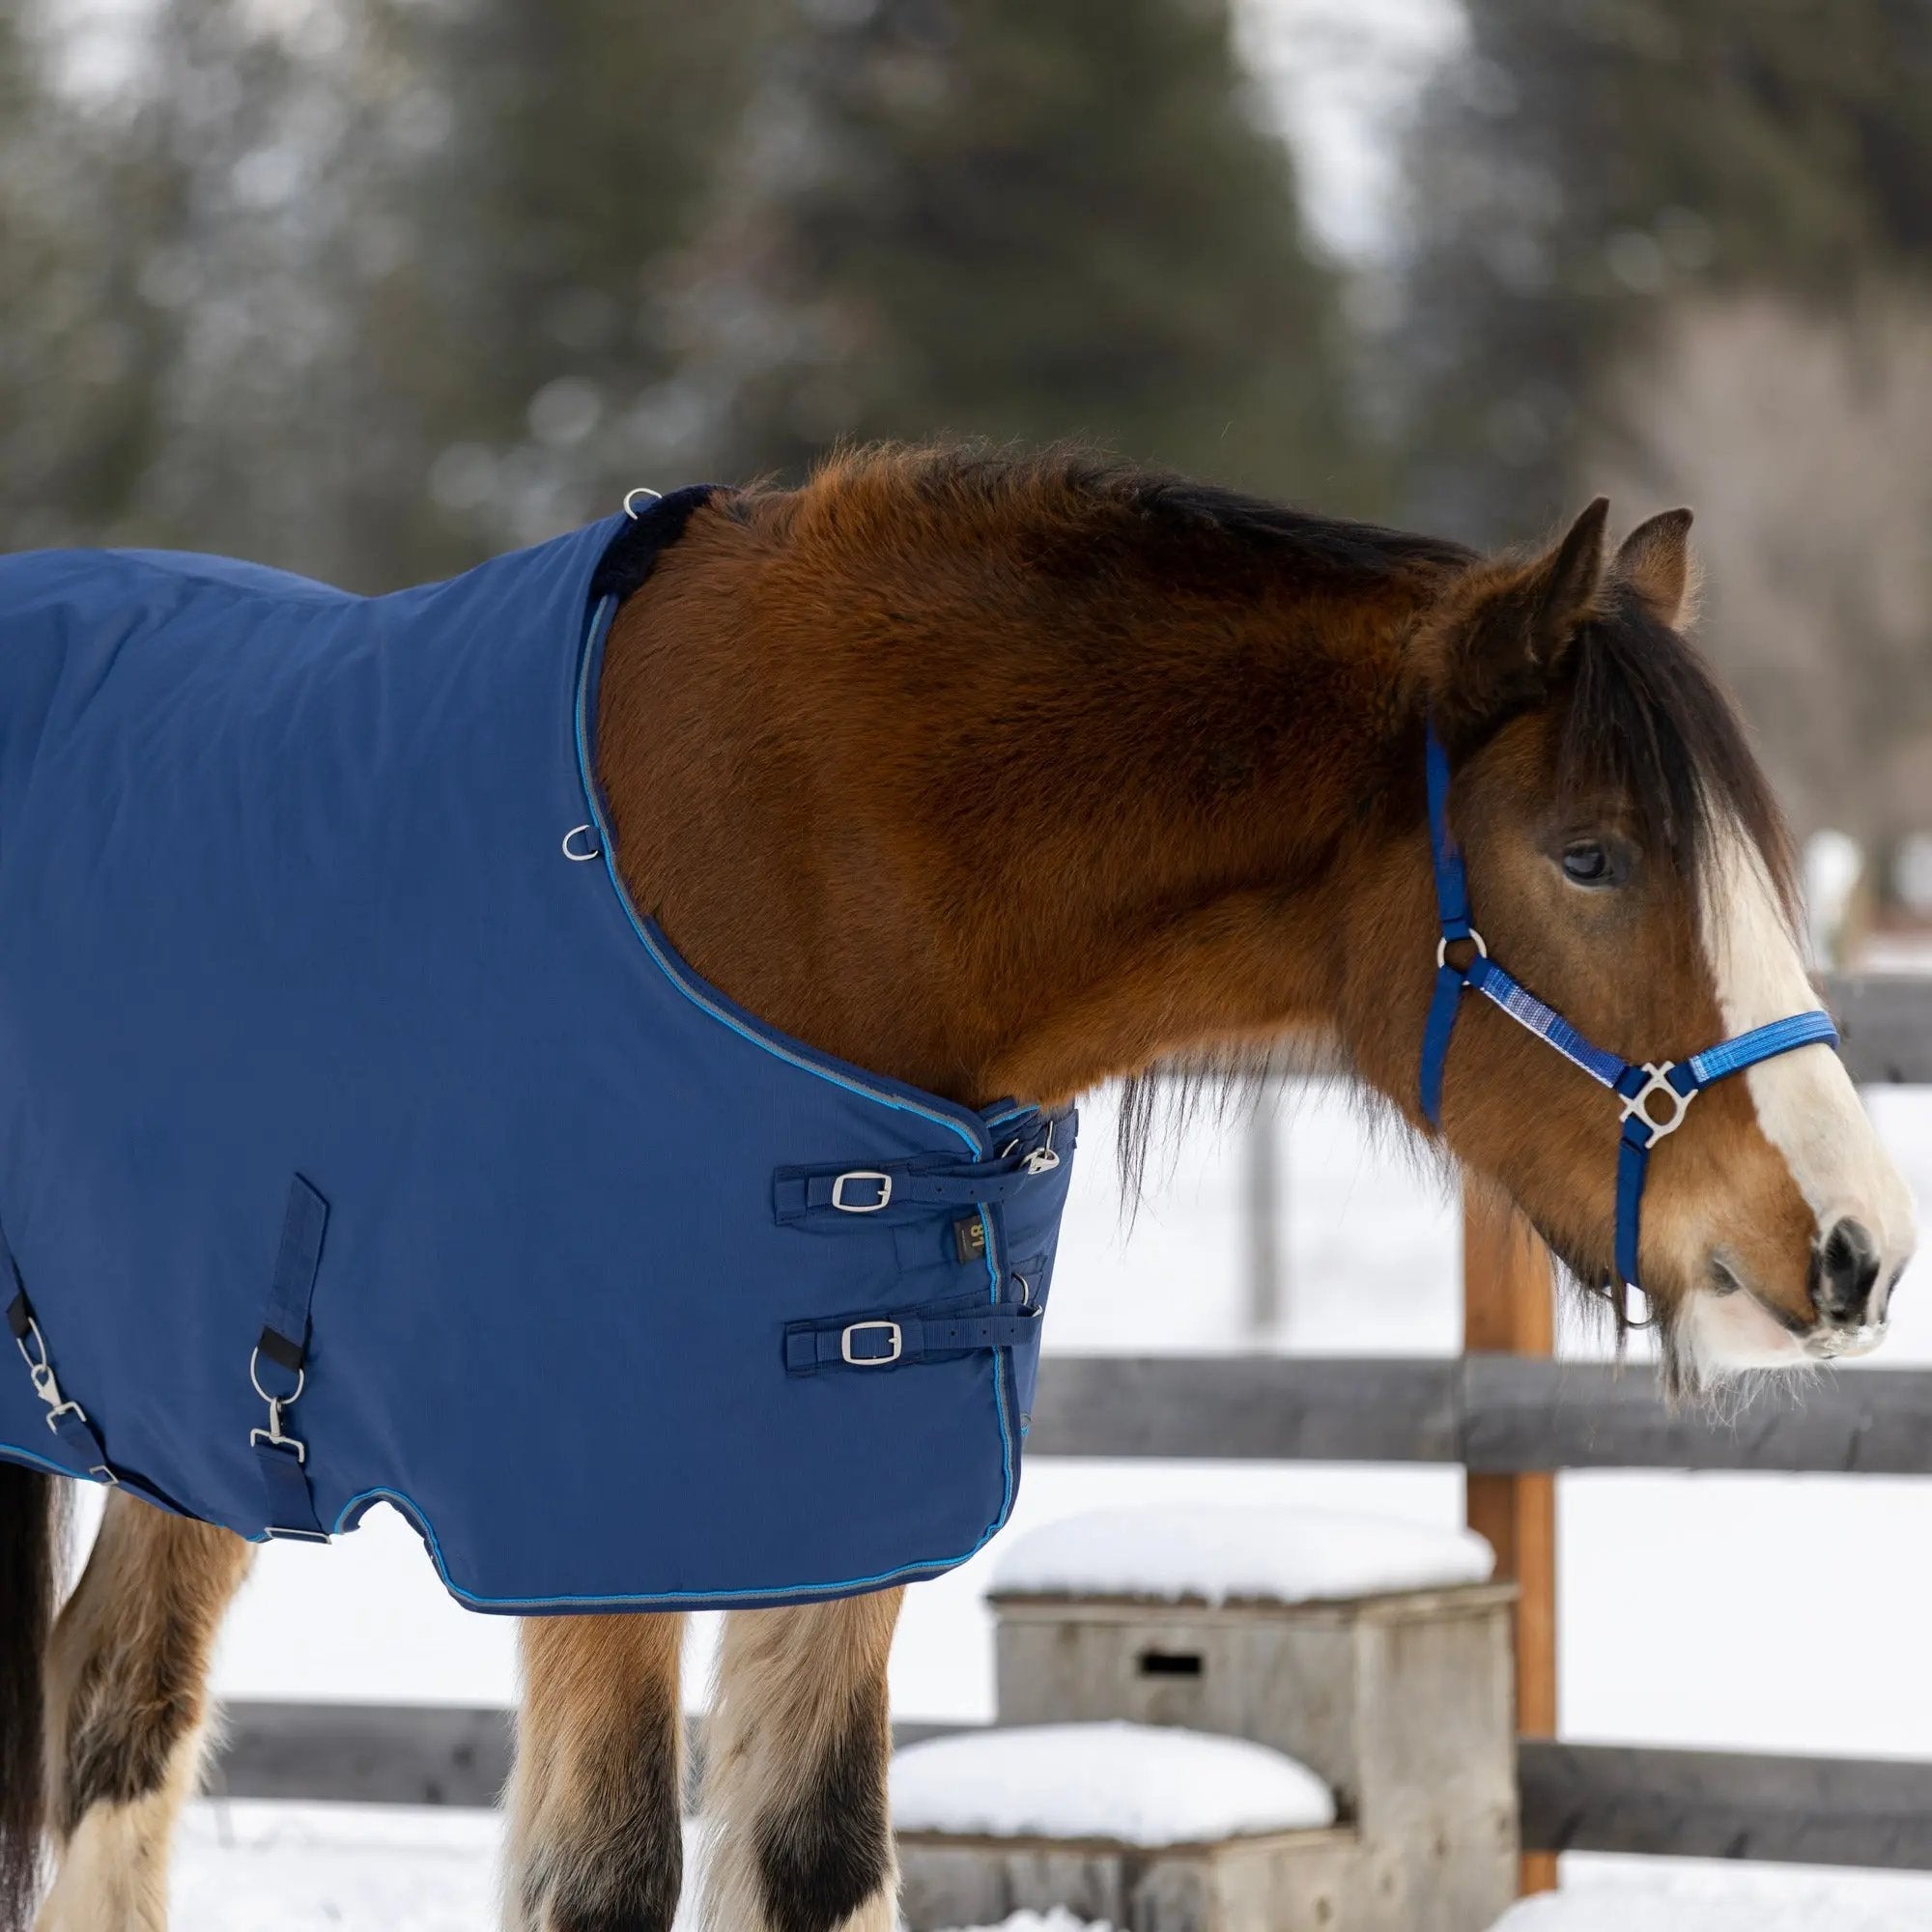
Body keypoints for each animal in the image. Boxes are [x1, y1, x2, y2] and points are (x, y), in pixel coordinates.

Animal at [0, 443, 1913, 1932]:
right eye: (1588, 857)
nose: (1857, 1249)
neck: (792, 866)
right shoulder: (592, 1529)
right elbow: (608, 1875)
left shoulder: (852, 1504)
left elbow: (818, 1857)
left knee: (112, 1709)